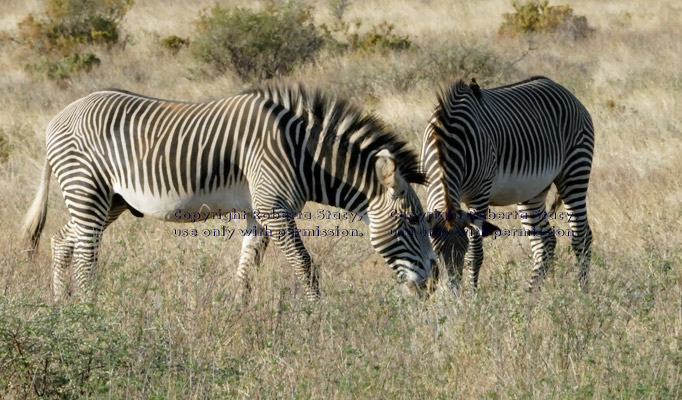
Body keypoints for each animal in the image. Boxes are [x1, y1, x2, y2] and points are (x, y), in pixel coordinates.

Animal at [23, 83, 436, 302]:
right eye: (413, 222)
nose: (433, 284)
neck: (300, 154)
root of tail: (58, 117)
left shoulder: (259, 211)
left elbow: (247, 267)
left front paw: (241, 312)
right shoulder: (274, 209)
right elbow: (306, 265)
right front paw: (320, 315)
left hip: (112, 200)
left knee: (62, 240)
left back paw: (63, 305)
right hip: (88, 190)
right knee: (85, 253)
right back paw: (88, 309)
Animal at [422, 76, 592, 292]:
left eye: (463, 249)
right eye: (437, 251)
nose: (453, 292)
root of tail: (562, 89)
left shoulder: (480, 193)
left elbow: (476, 255)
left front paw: (473, 296)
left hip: (575, 170)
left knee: (582, 236)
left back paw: (582, 291)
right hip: (533, 190)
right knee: (545, 242)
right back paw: (530, 294)